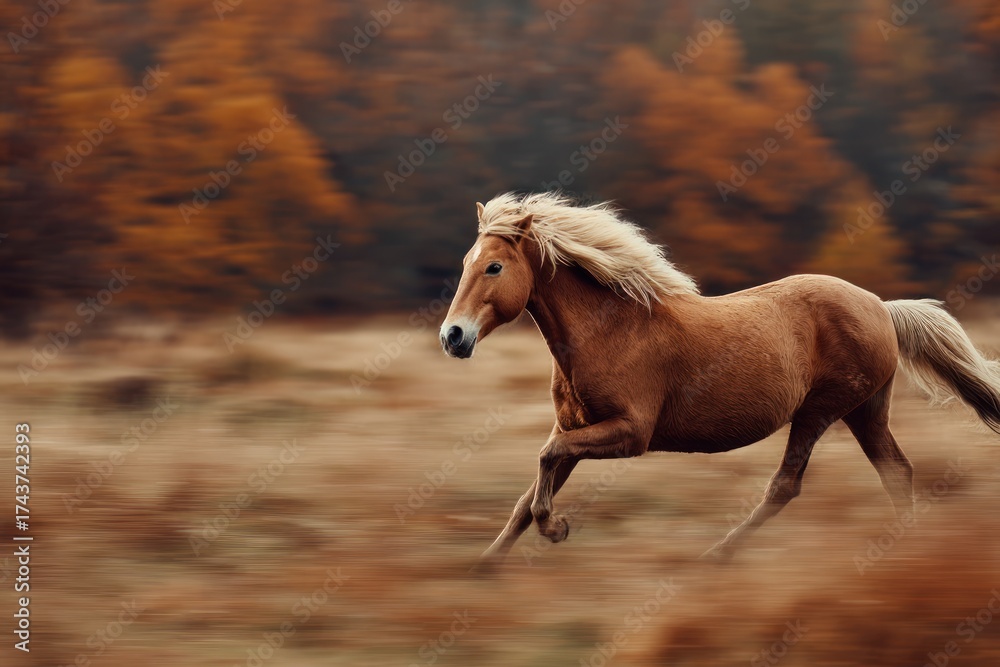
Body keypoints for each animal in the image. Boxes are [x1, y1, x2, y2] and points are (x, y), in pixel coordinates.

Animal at [439, 191, 1000, 570]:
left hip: (820, 411)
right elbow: (530, 489)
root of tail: (882, 307)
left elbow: (543, 463)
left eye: (494, 267)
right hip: (866, 412)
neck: (608, 328)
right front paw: (484, 567)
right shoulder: (576, 428)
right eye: (466, 262)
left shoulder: (629, 433)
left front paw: (555, 529)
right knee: (896, 472)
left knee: (786, 485)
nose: (452, 336)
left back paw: (715, 556)